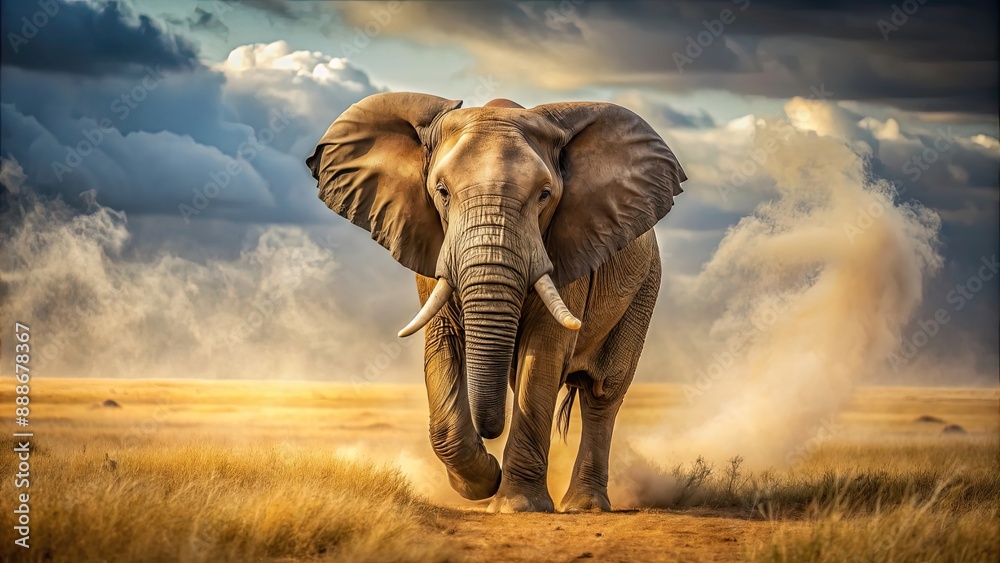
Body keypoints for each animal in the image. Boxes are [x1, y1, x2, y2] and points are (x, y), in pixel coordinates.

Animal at [306, 93, 686, 513]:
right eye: (442, 192)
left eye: (544, 195)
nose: (489, 436)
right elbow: (442, 341)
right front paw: (481, 482)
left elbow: (543, 353)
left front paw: (514, 505)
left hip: (645, 286)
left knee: (603, 393)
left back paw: (583, 506)